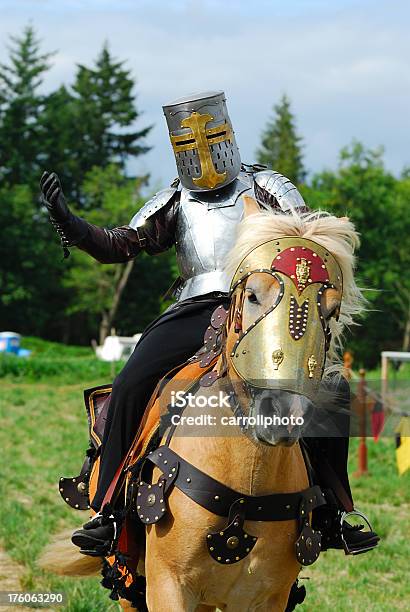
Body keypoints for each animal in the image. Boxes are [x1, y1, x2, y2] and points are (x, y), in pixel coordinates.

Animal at [40, 197, 362, 612]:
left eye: (331, 310)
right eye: (253, 295)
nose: (281, 413)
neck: (247, 479)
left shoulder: (265, 597)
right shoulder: (167, 586)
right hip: (128, 578)